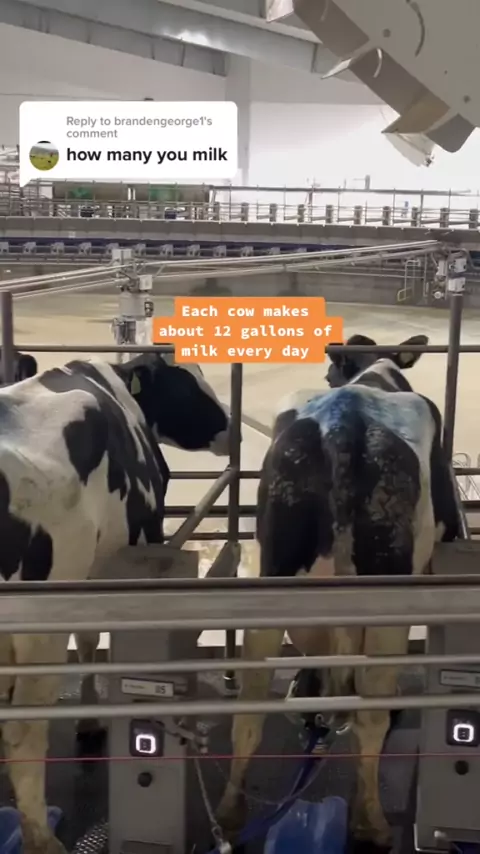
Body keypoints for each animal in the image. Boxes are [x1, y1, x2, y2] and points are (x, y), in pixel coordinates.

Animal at [0, 351, 232, 854]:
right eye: (187, 384)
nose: (231, 428)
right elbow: (90, 640)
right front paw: (91, 720)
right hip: (38, 629)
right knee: (24, 731)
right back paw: (42, 839)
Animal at [216, 333, 460, 852]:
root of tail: (345, 425)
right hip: (388, 600)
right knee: (371, 714)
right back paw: (371, 823)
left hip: (274, 574)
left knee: (250, 710)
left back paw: (231, 815)